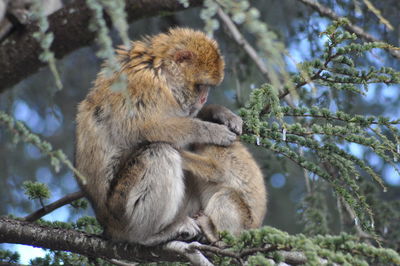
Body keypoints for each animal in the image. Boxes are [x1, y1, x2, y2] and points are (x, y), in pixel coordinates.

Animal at [75, 28, 239, 246]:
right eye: (200, 86)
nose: (204, 99)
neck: (158, 68)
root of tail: (107, 226)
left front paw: (220, 113)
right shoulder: (143, 86)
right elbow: (145, 129)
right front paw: (212, 131)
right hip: (122, 210)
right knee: (159, 152)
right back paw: (150, 235)